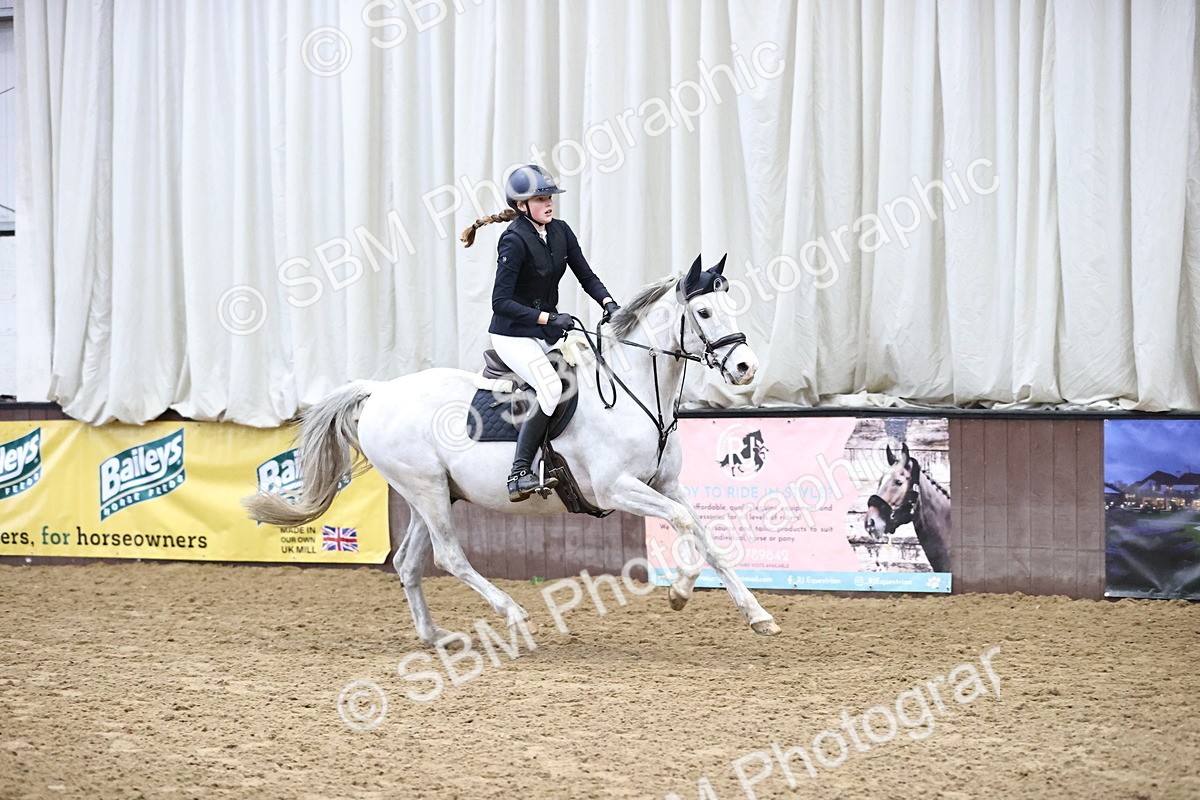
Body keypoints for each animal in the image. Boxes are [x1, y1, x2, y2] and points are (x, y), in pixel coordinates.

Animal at [243, 255, 782, 644]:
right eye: (704, 312)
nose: (746, 367)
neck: (634, 390)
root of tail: (380, 391)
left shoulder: (666, 484)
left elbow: (706, 534)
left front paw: (757, 614)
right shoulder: (617, 489)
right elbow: (686, 524)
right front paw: (680, 591)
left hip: (428, 494)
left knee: (409, 563)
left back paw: (435, 636)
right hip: (428, 492)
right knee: (449, 557)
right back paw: (516, 616)